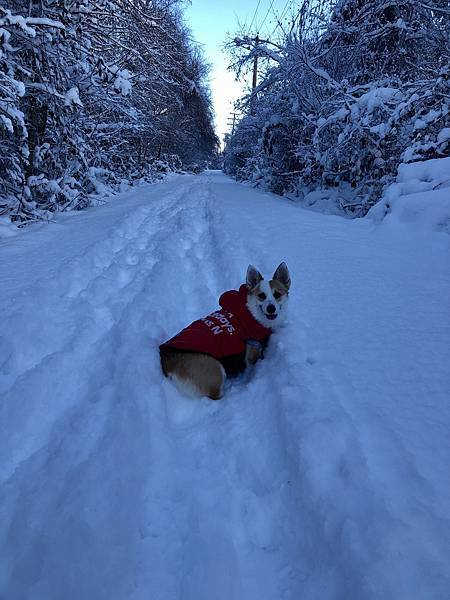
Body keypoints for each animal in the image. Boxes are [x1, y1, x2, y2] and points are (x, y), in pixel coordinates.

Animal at [160, 262, 290, 398]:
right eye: (262, 296)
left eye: (277, 294)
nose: (271, 308)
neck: (252, 314)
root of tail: (167, 362)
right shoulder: (252, 350)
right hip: (216, 368)